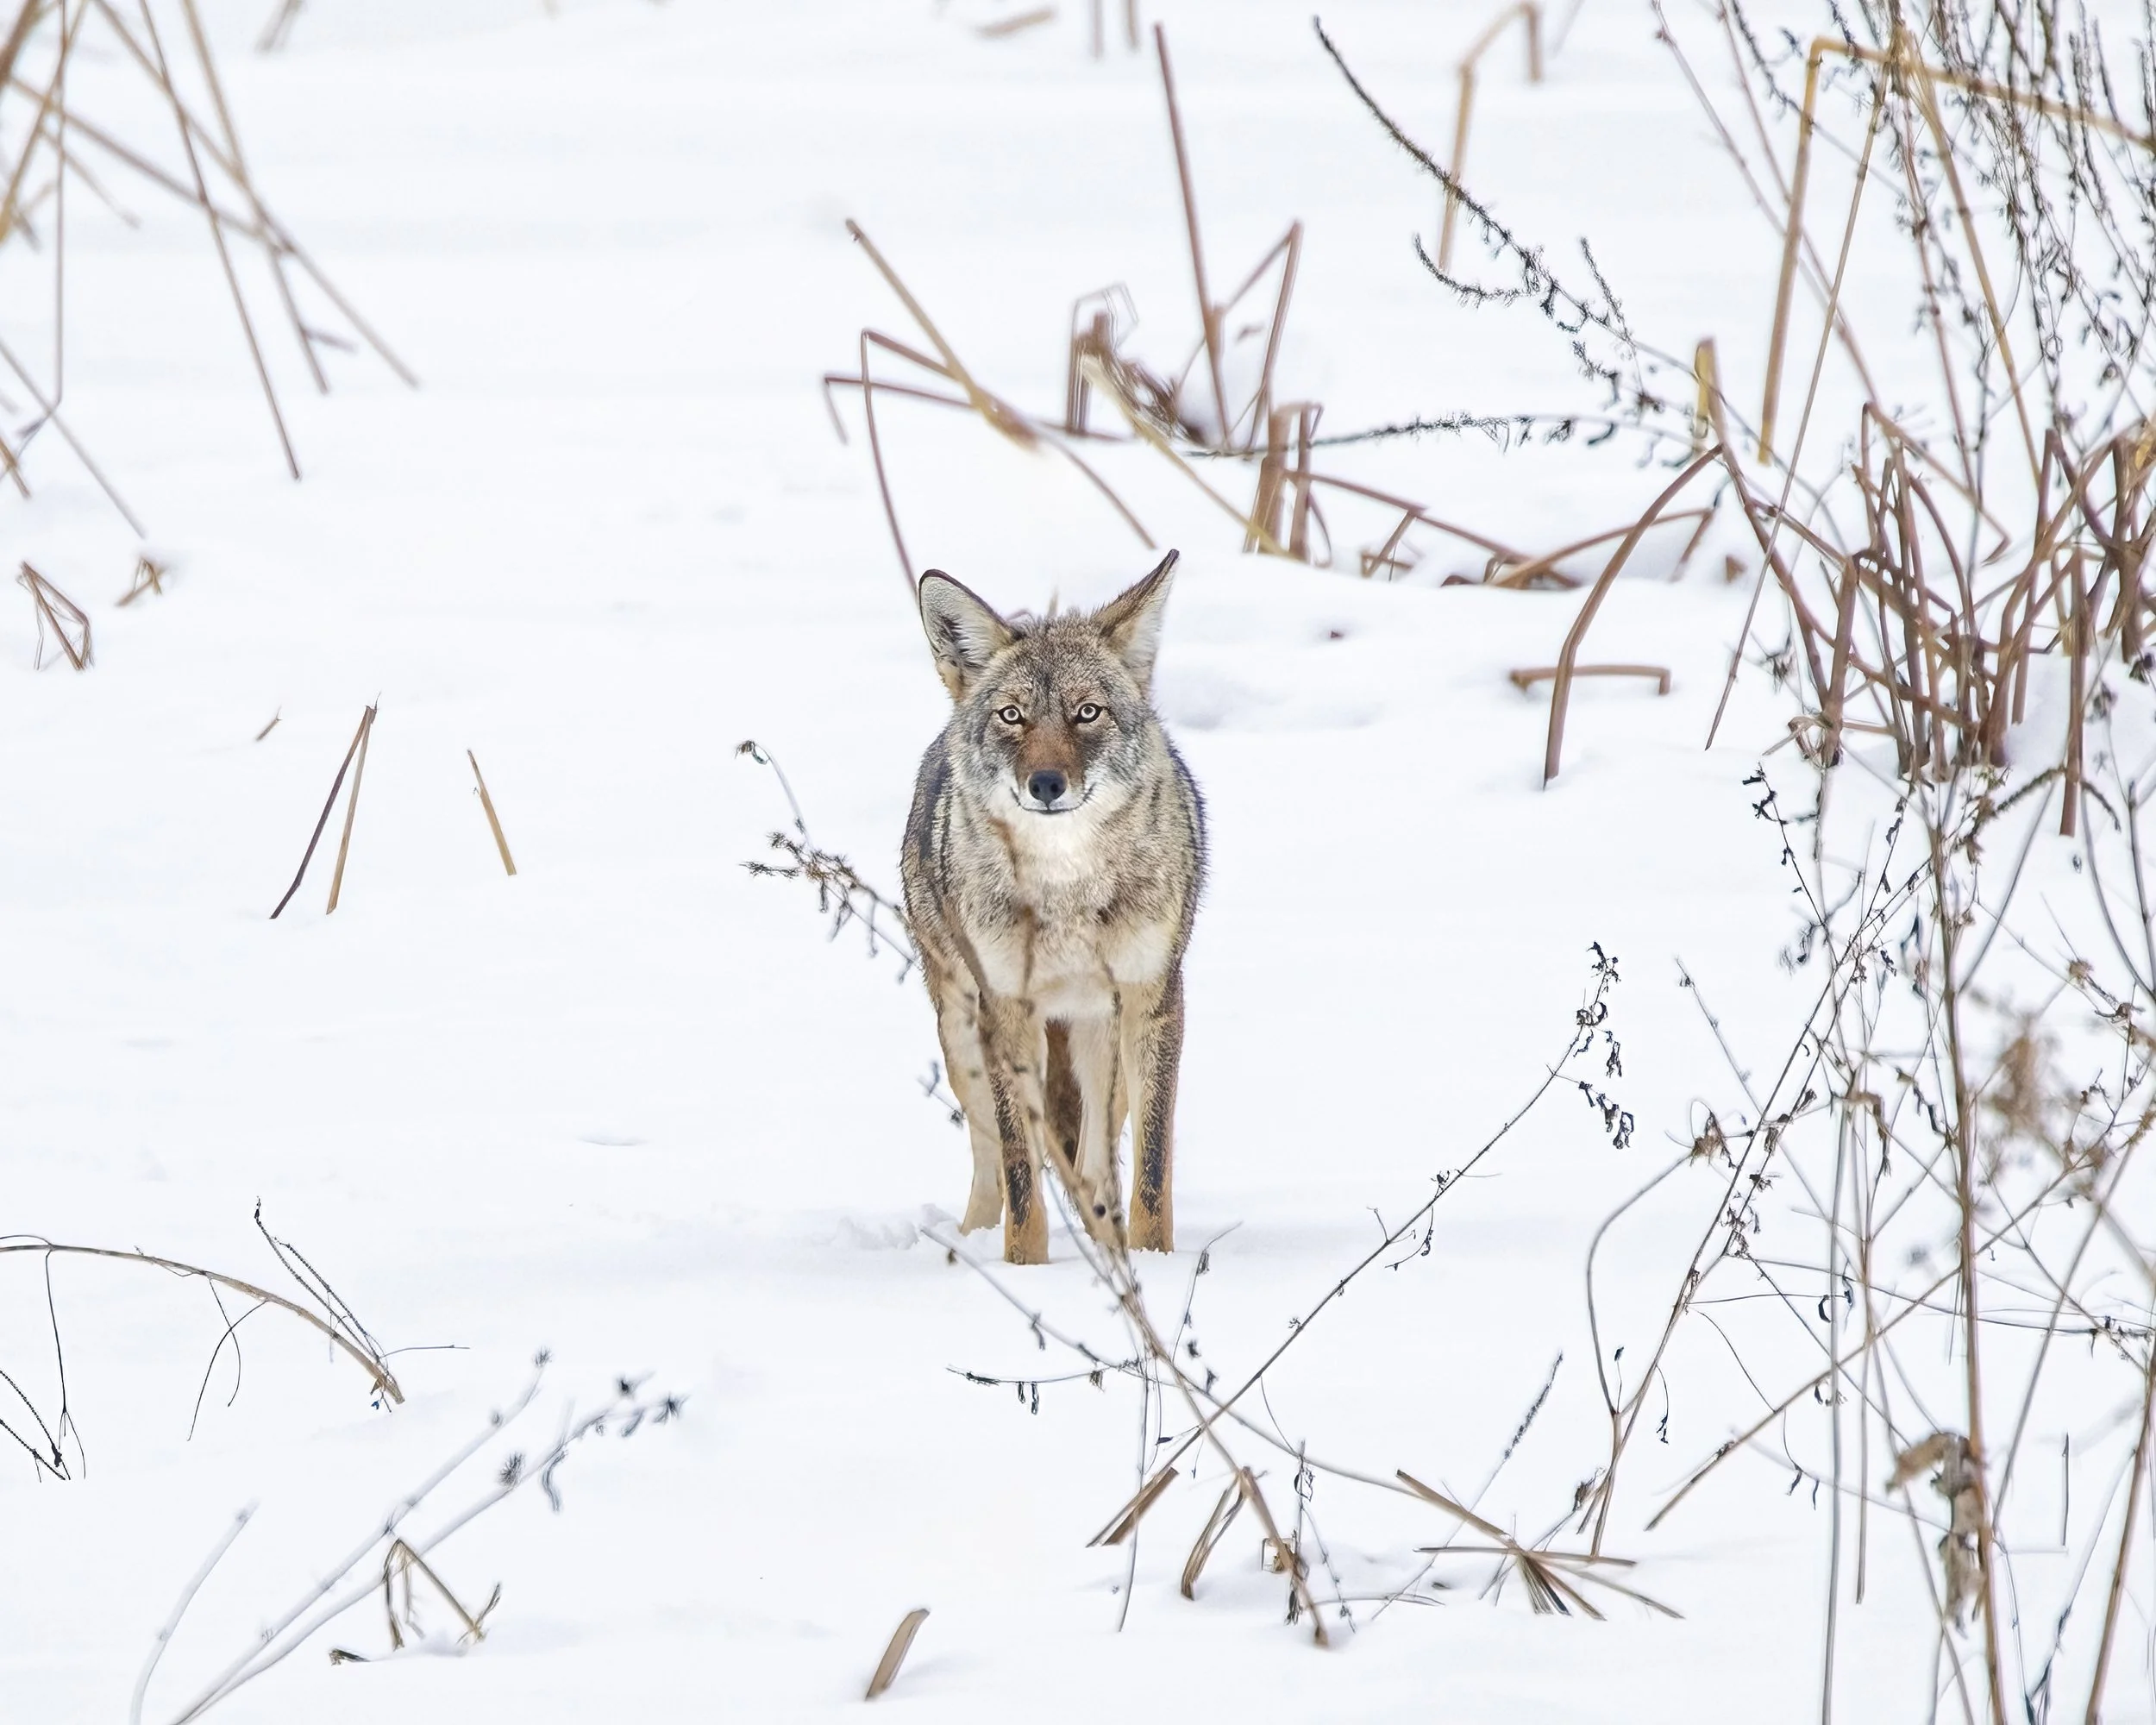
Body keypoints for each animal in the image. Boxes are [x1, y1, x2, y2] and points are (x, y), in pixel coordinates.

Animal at [901, 552, 1205, 1265]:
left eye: (1086, 712)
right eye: (1013, 716)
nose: (1045, 785)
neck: (1067, 889)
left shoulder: (1155, 1000)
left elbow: (1152, 1168)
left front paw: (1153, 1261)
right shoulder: (1005, 1012)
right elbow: (1019, 1170)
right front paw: (1024, 1267)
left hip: (1100, 1039)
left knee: (1093, 1162)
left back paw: (1110, 1250)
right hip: (964, 1034)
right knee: (992, 1163)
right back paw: (971, 1246)